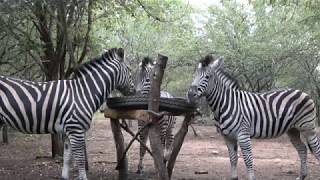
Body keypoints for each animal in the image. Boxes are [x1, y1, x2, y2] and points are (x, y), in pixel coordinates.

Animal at [0, 47, 136, 180]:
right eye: (129, 70)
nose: (134, 92)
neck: (83, 92)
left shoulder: (67, 131)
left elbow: (67, 158)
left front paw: (64, 177)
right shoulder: (75, 129)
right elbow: (80, 159)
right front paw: (83, 178)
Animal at [188, 54, 320, 180]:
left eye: (207, 76)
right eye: (194, 75)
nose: (190, 94)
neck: (226, 104)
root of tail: (302, 92)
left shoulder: (243, 135)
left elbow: (248, 160)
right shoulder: (227, 137)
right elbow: (233, 159)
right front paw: (234, 177)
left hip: (308, 127)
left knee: (316, 149)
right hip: (292, 130)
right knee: (302, 149)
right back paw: (302, 176)